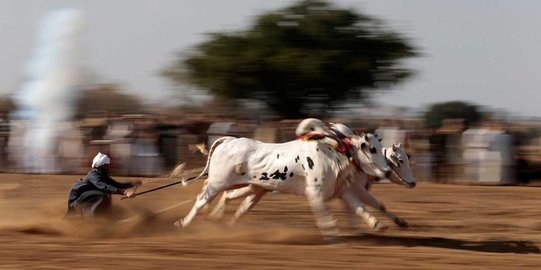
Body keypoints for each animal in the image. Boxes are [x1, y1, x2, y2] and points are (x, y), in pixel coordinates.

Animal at [175, 133, 390, 238]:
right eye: (372, 149)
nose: (388, 171)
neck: (334, 153)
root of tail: (228, 140)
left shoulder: (342, 191)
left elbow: (360, 208)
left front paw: (377, 224)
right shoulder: (315, 193)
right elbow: (324, 215)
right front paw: (333, 233)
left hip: (255, 188)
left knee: (235, 203)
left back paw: (222, 222)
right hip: (217, 183)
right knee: (201, 200)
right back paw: (183, 223)